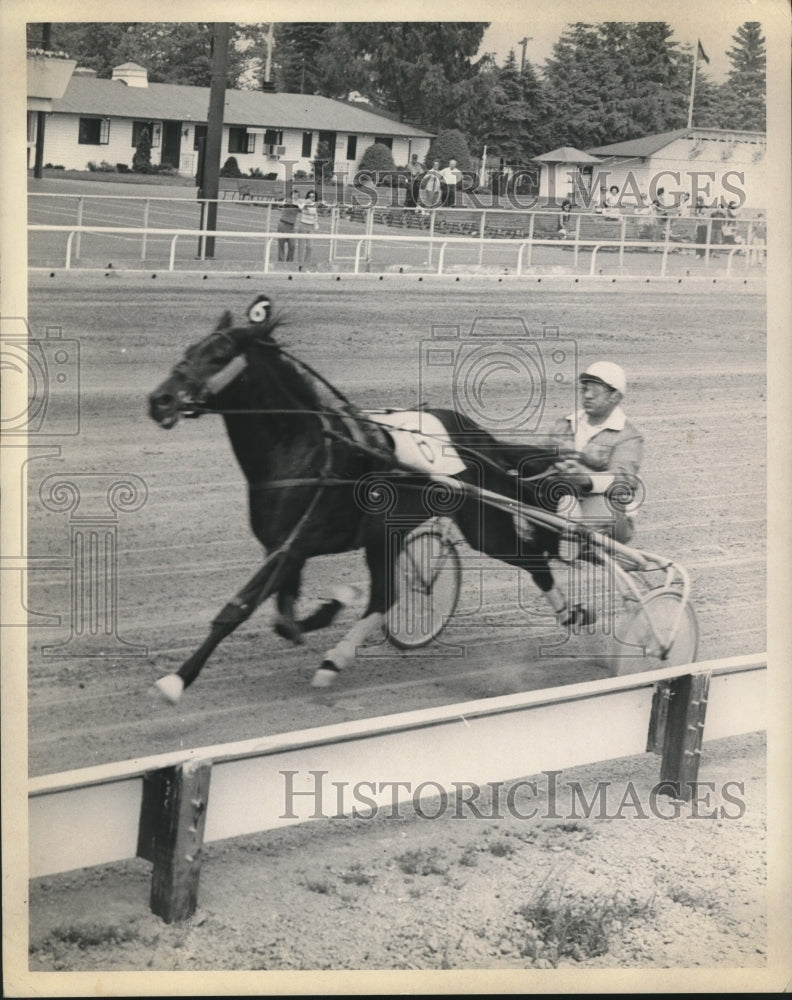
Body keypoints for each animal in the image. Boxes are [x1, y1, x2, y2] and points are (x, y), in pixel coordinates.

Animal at [147, 303, 587, 703]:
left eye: (219, 356)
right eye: (189, 348)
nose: (159, 400)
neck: (304, 449)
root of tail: (482, 438)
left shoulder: (293, 545)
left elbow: (238, 609)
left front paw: (176, 681)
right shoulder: (285, 548)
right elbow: (284, 617)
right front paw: (330, 608)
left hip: (482, 524)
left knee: (532, 560)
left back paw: (570, 614)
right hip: (384, 535)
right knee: (385, 595)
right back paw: (334, 660)